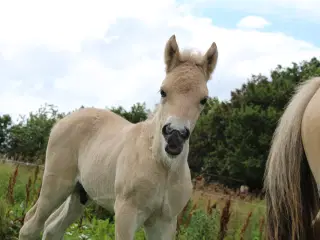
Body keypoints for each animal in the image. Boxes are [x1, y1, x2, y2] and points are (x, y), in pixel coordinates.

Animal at [16, 34, 218, 240]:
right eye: (163, 91)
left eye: (204, 100)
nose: (175, 136)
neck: (162, 164)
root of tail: (60, 122)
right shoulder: (126, 212)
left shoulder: (165, 222)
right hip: (55, 186)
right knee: (31, 224)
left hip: (79, 194)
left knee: (52, 227)